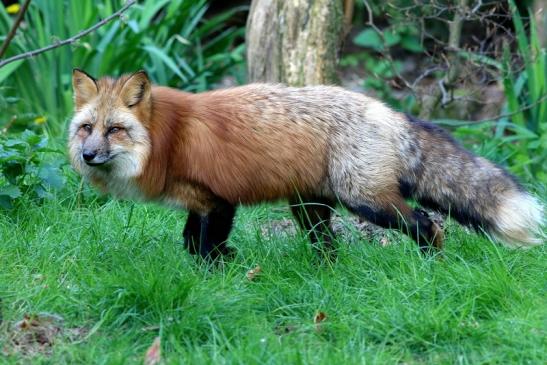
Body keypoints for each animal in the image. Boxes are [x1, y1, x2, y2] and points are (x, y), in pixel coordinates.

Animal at [68, 69, 544, 258]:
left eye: (115, 130)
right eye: (86, 128)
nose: (88, 155)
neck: (168, 139)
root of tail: (387, 111)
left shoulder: (217, 201)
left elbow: (205, 249)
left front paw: (217, 274)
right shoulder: (197, 203)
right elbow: (190, 243)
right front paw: (229, 264)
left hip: (365, 200)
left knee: (428, 223)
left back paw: (431, 265)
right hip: (309, 209)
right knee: (329, 246)